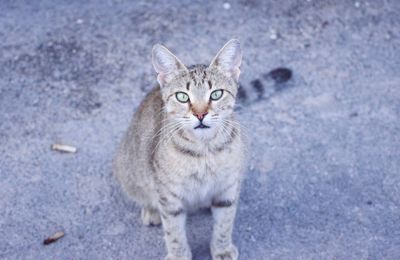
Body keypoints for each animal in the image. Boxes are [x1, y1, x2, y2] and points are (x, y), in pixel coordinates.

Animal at [113, 39, 247, 260]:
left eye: (216, 94)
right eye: (183, 97)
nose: (200, 114)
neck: (205, 149)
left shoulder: (227, 188)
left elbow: (224, 224)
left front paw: (222, 248)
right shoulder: (169, 197)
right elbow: (174, 231)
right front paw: (179, 255)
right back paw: (152, 211)